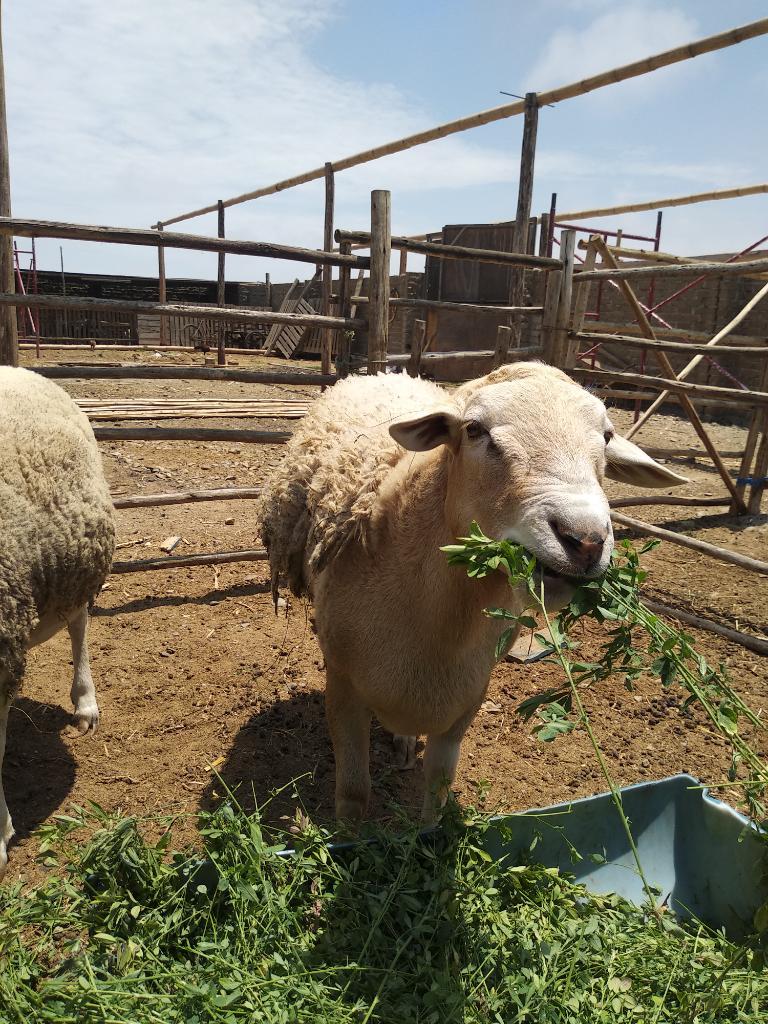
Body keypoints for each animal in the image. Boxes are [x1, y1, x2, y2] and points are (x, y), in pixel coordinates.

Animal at [262, 364, 688, 819]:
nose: (586, 540)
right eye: (474, 429)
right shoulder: (343, 689)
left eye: (607, 436)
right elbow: (354, 794)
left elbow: (438, 783)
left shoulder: (470, 693)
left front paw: (429, 831)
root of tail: (380, 371)